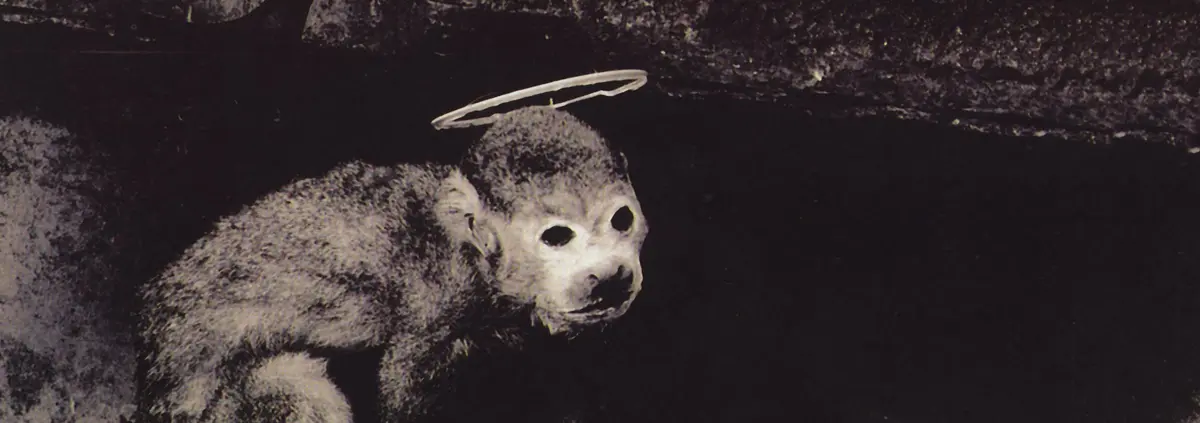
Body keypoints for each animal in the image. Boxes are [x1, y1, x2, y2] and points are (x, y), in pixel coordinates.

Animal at [133, 106, 650, 423]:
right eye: (557, 237)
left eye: (620, 220)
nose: (610, 276)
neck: (477, 263)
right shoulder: (440, 297)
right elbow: (404, 390)